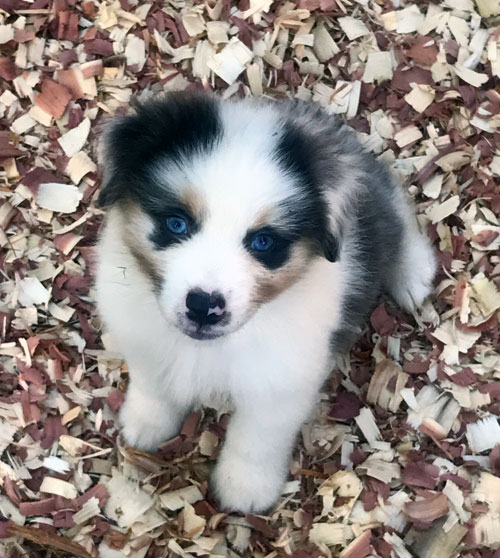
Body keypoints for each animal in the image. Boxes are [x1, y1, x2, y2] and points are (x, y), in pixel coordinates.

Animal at [94, 93, 438, 516]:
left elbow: (257, 438)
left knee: (395, 206)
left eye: (263, 242)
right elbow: (154, 385)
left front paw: (244, 488)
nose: (204, 307)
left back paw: (413, 273)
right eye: (177, 223)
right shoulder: (144, 339)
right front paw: (146, 425)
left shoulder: (280, 380)